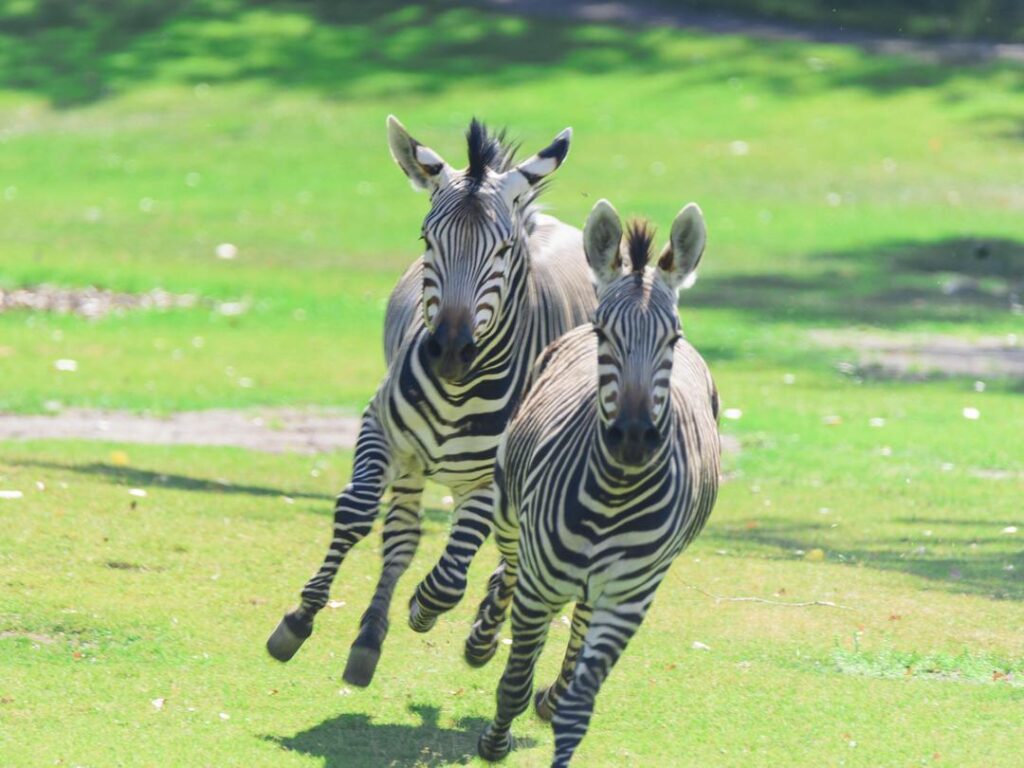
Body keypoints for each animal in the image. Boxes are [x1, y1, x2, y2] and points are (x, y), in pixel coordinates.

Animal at [268, 117, 598, 688]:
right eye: (427, 239)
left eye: (503, 249)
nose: (447, 350)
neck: (459, 390)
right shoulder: (380, 429)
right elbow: (357, 513)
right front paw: (299, 618)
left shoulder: (490, 482)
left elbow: (449, 580)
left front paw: (424, 609)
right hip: (413, 463)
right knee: (402, 537)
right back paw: (370, 637)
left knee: (510, 553)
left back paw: (482, 634)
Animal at [466, 196, 720, 765]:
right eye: (607, 335)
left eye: (673, 338)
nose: (634, 438)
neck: (614, 494)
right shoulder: (539, 583)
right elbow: (513, 682)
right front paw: (494, 742)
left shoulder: (628, 600)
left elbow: (579, 705)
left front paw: (557, 705)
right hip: (510, 513)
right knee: (507, 569)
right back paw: (482, 636)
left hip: (598, 586)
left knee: (576, 623)